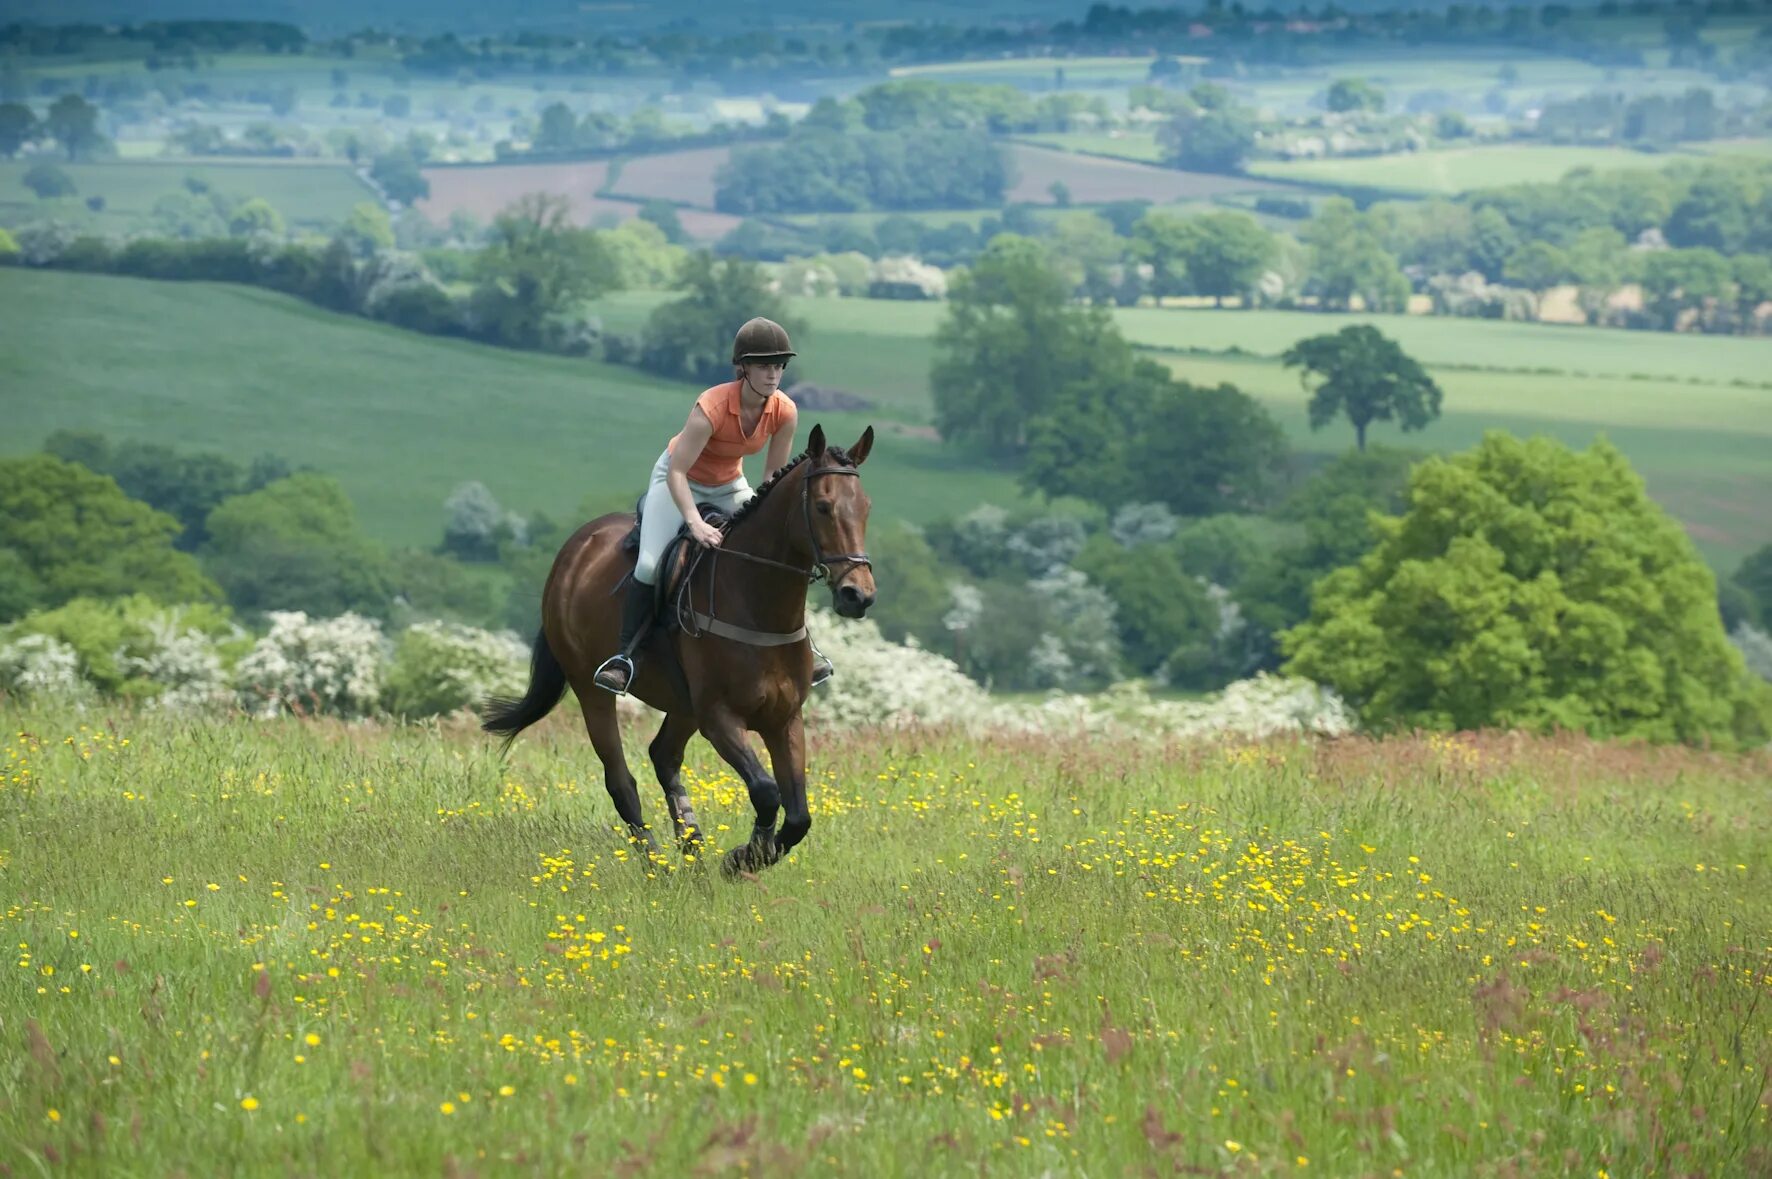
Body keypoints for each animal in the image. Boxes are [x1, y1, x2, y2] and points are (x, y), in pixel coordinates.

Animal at [481, 423, 875, 872]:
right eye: (824, 507)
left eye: (866, 507)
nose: (858, 596)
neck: (756, 601)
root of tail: (573, 550)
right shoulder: (719, 718)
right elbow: (765, 791)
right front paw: (741, 858)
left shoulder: (784, 718)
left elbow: (798, 816)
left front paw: (749, 855)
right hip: (592, 690)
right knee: (621, 780)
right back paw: (659, 864)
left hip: (683, 705)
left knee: (663, 756)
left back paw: (692, 844)